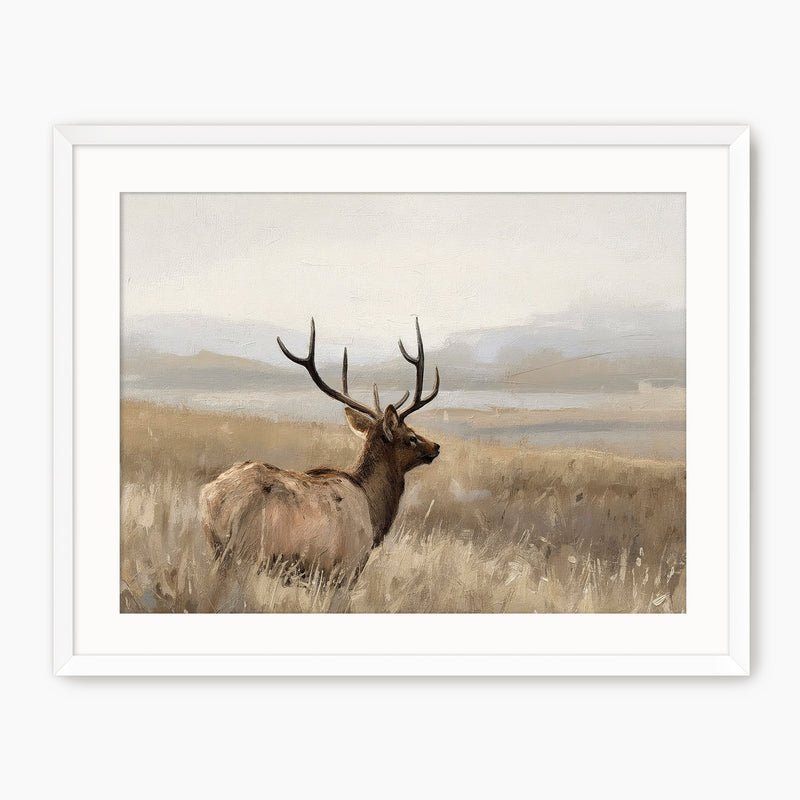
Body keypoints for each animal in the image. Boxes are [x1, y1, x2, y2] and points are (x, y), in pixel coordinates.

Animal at [199, 317, 441, 590]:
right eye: (411, 436)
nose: (435, 447)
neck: (374, 512)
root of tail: (212, 496)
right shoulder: (345, 569)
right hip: (245, 554)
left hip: (217, 550)